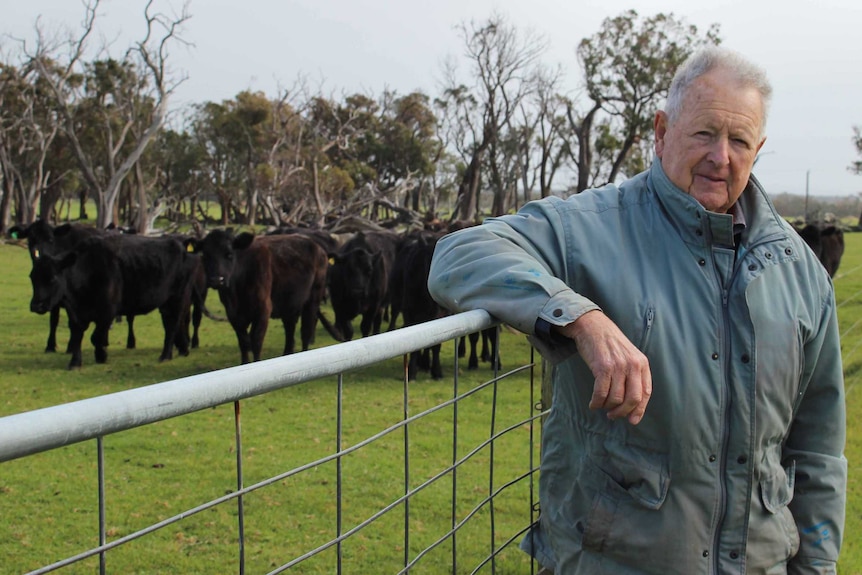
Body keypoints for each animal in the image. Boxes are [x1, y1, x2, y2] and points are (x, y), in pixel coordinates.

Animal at [28, 235, 196, 366]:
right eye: (32, 278)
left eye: (52, 278)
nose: (36, 305)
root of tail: (181, 245)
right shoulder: (75, 314)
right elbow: (77, 335)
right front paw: (75, 362)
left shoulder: (107, 311)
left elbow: (96, 337)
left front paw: (101, 355)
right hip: (166, 303)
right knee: (173, 323)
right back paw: (182, 350)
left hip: (176, 297)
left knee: (172, 325)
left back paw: (165, 355)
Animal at [194, 230, 330, 364]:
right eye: (205, 256)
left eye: (229, 254)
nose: (217, 280)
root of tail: (318, 248)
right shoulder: (233, 315)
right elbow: (243, 343)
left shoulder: (263, 309)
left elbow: (256, 341)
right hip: (290, 304)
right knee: (290, 331)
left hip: (313, 298)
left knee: (306, 331)